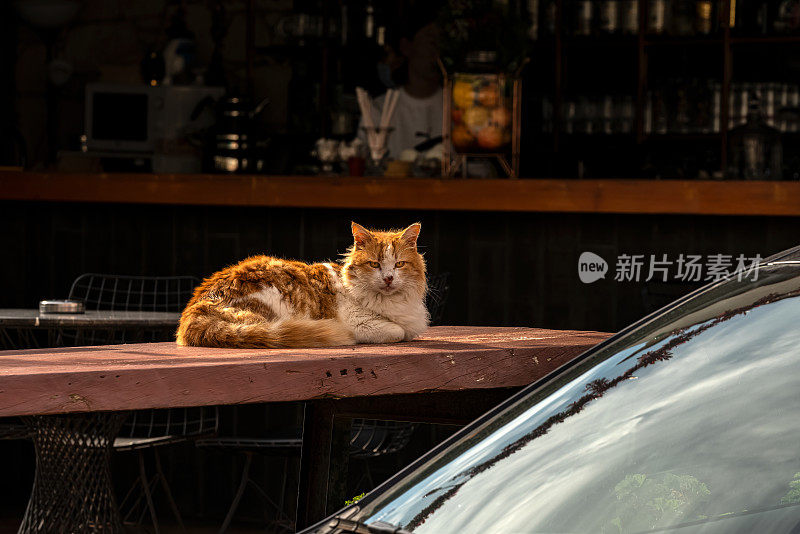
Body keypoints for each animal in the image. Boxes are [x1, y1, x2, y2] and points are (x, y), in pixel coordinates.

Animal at [173, 223, 424, 352]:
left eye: (399, 264)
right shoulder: (359, 323)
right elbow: (398, 331)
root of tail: (194, 309)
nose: (389, 278)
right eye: (374, 264)